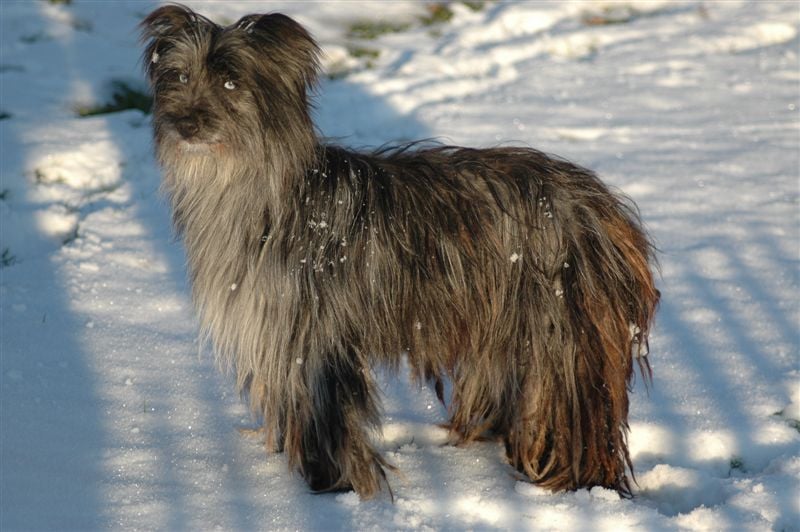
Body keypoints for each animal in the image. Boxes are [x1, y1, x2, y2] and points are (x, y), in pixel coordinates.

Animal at [141, 5, 660, 498]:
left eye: (231, 81)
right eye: (180, 76)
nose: (185, 123)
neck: (265, 193)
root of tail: (603, 206)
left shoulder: (317, 338)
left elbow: (330, 418)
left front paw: (334, 488)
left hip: (563, 334)